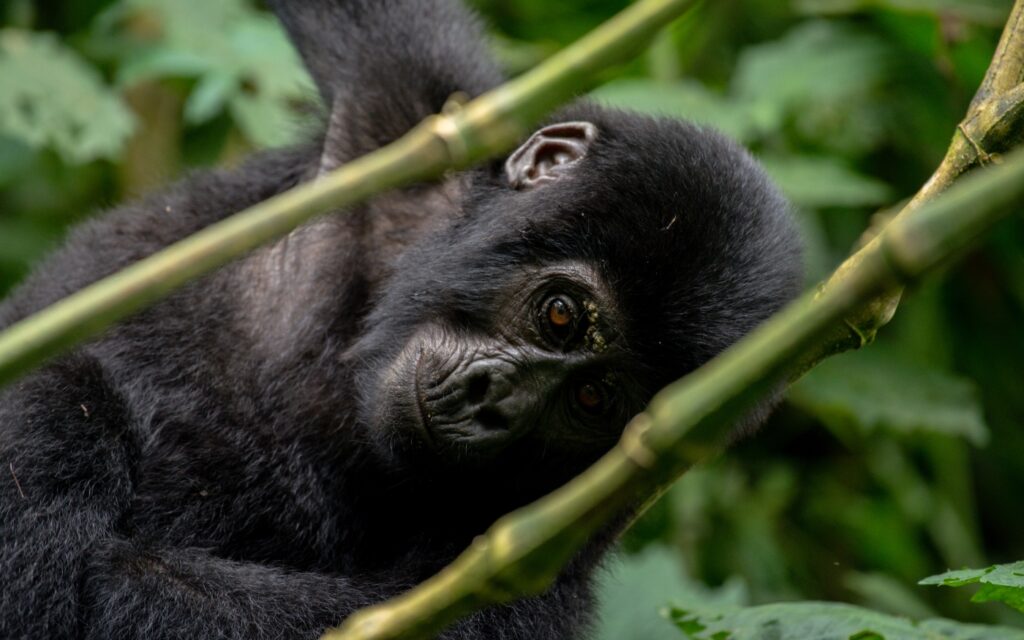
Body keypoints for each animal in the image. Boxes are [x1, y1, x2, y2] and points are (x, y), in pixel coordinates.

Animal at [0, 1, 802, 638]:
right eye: (561, 316)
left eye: (592, 398)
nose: (492, 399)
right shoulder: (410, 107)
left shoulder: (564, 525)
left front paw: (111, 569)